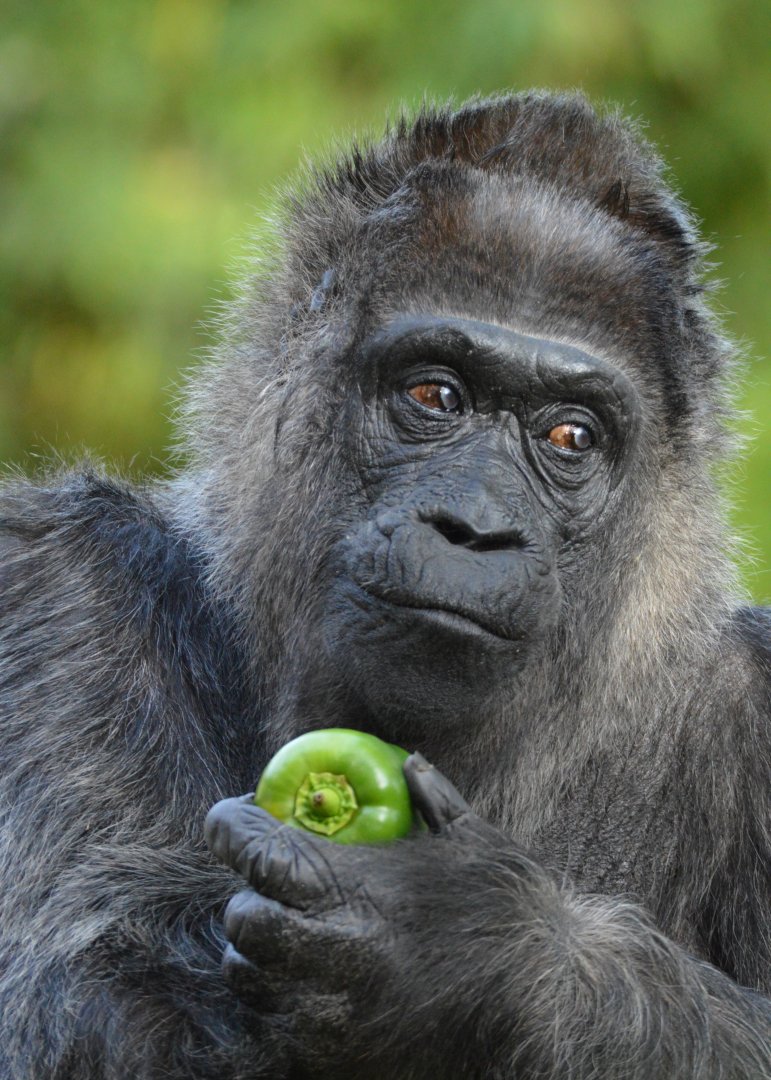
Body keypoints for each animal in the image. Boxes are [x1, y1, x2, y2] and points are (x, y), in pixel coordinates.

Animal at [1, 91, 769, 1079]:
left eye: (569, 437)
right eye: (435, 396)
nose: (473, 529)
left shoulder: (757, 699)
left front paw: (471, 956)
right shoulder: (58, 583)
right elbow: (77, 1000)